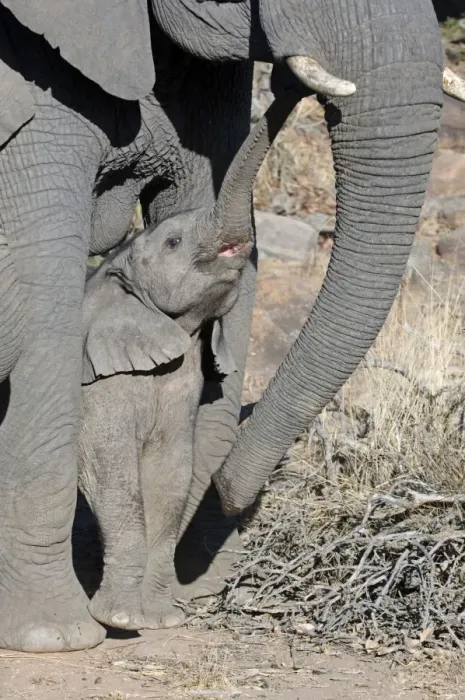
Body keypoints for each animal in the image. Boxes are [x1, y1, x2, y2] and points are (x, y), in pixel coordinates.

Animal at [77, 85, 296, 631]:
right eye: (174, 242)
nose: (289, 86)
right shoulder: (97, 380)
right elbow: (113, 474)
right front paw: (121, 621)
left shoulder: (181, 381)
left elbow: (171, 476)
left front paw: (161, 621)